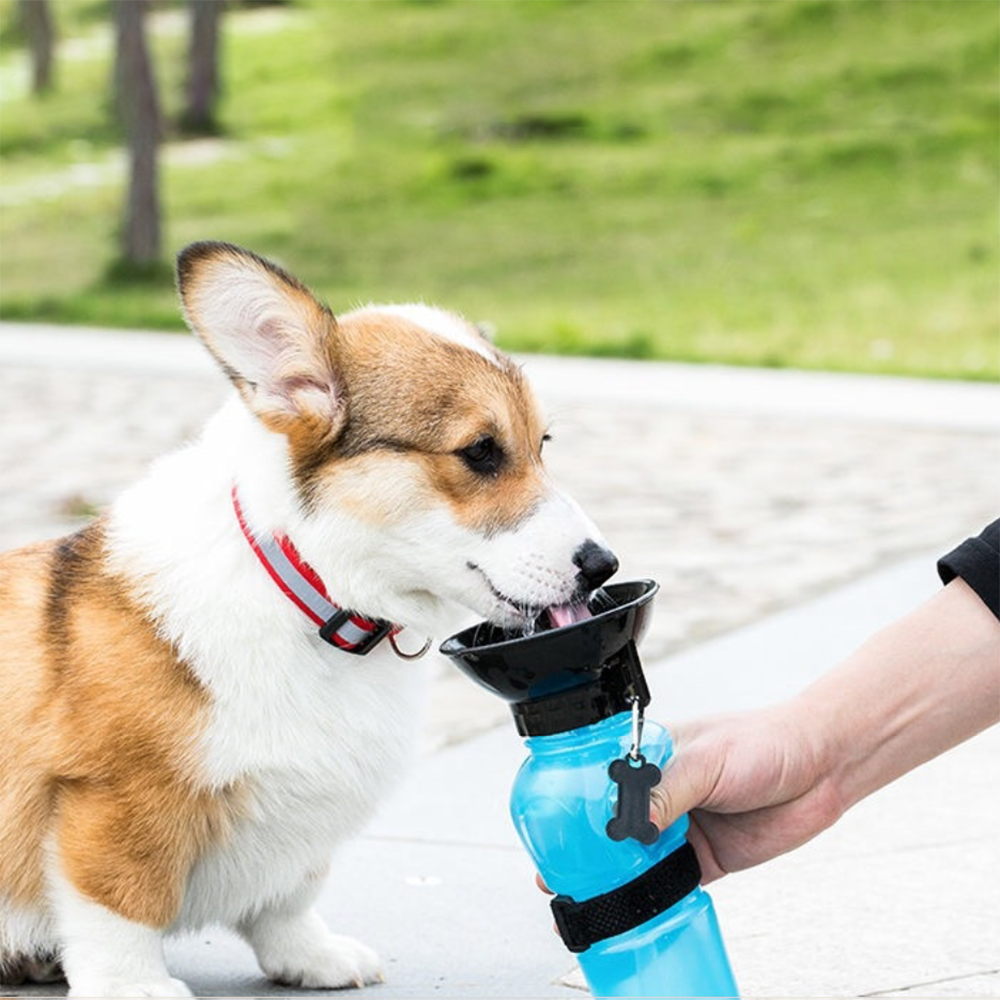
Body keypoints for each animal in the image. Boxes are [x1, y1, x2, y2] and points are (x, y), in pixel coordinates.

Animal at [0, 244, 616, 1000]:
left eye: (542, 443)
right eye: (480, 451)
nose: (603, 565)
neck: (317, 593)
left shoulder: (297, 831)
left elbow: (288, 895)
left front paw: (311, 955)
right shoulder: (114, 799)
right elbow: (119, 904)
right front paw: (134, 985)